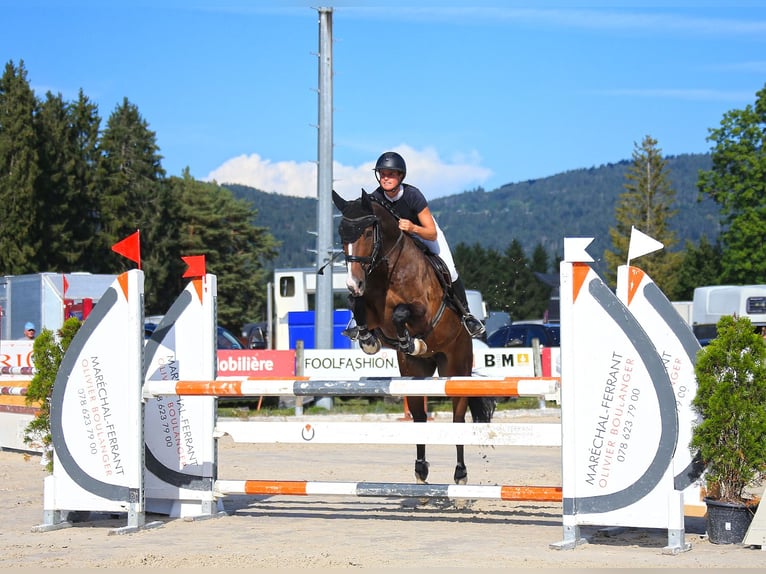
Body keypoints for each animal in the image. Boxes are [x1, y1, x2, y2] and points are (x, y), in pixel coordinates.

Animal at [332, 190, 496, 486]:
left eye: (366, 233)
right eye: (341, 234)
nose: (353, 283)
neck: (387, 270)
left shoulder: (423, 312)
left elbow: (400, 313)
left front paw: (411, 340)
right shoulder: (370, 309)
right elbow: (356, 305)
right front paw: (367, 339)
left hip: (456, 366)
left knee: (458, 419)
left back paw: (460, 474)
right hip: (415, 371)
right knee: (419, 418)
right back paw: (420, 470)